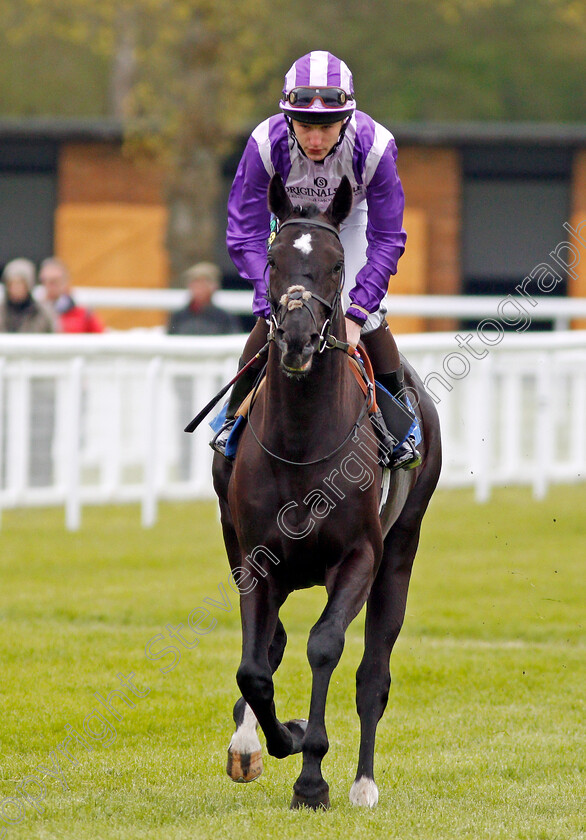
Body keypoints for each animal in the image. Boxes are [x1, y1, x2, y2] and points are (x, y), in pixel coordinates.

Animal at [212, 174, 440, 812]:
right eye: (272, 260)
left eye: (337, 265)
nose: (293, 337)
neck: (303, 441)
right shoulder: (257, 559)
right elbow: (254, 666)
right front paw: (273, 739)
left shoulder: (359, 556)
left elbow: (325, 646)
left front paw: (311, 775)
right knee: (270, 646)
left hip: (401, 551)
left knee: (373, 673)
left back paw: (363, 782)